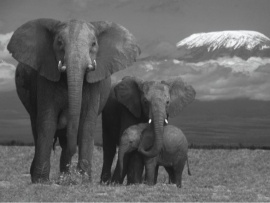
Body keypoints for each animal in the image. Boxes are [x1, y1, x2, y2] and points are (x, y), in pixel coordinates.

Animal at [7, 18, 140, 182]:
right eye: (59, 42)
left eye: (93, 44)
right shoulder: (46, 75)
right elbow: (47, 121)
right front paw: (41, 181)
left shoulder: (94, 83)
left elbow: (87, 123)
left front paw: (82, 180)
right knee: (36, 127)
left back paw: (64, 176)